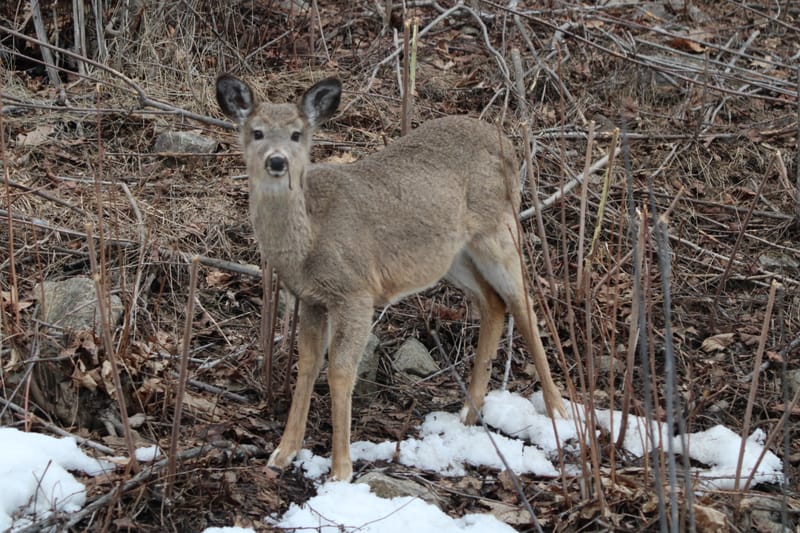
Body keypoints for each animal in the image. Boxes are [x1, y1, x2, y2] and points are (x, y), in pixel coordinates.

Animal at [215, 74, 567, 482]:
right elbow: (307, 365)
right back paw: (469, 411)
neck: (309, 242)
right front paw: (283, 453)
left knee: (523, 302)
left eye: (296, 134)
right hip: (450, 255)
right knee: (492, 302)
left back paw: (558, 410)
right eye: (256, 132)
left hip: (499, 229)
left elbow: (340, 372)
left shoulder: (355, 292)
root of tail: (507, 143)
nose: (276, 161)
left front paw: (341, 469)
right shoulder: (311, 299)